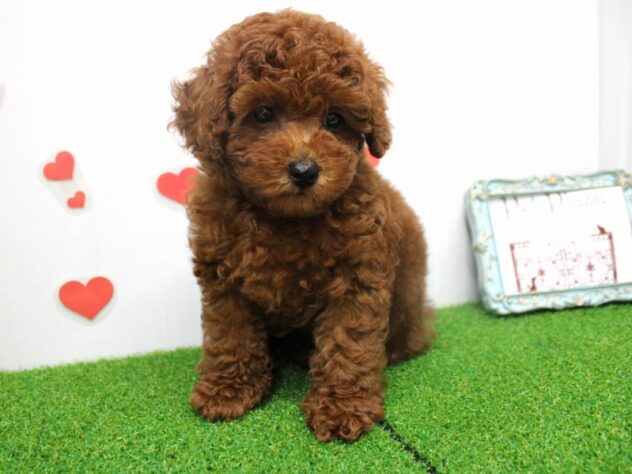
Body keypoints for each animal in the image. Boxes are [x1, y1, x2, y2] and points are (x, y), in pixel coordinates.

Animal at [171, 9, 434, 441]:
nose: (305, 170)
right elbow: (231, 334)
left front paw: (343, 406)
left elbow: (349, 342)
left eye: (334, 119)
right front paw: (228, 390)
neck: (284, 218)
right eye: (263, 114)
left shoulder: (358, 275)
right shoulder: (223, 278)